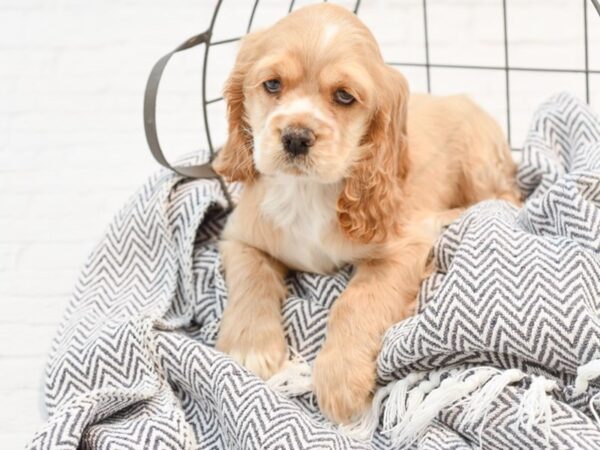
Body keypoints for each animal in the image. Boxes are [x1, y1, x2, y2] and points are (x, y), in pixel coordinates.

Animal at [213, 2, 516, 422]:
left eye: (343, 96)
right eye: (272, 85)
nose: (295, 137)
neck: (307, 191)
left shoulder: (402, 247)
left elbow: (356, 302)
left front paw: (341, 379)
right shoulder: (239, 236)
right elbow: (251, 275)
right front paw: (250, 347)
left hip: (479, 161)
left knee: (507, 198)